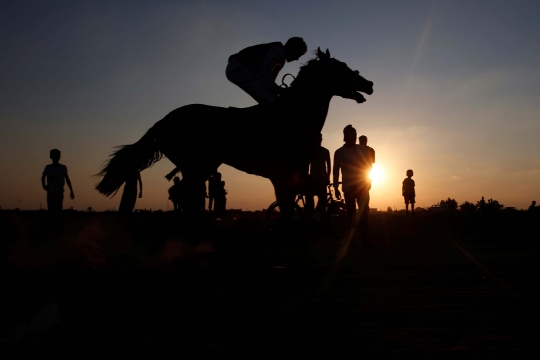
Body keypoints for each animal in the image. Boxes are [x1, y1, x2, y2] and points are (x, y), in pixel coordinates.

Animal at [95, 47, 374, 217]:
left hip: (200, 167)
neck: (294, 116)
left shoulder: (297, 175)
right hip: (195, 166)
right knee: (185, 198)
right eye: (340, 66)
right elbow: (287, 210)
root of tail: (161, 122)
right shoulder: (282, 174)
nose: (369, 83)